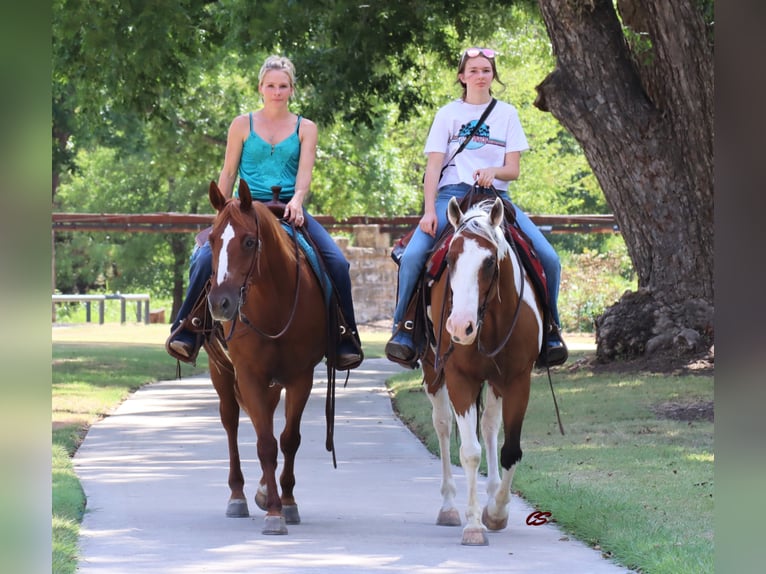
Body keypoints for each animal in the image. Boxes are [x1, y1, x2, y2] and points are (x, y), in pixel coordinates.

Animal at [206, 180, 332, 536]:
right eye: (212, 239)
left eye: (249, 241)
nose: (220, 303)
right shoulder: (249, 374)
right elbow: (265, 443)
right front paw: (274, 512)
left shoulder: (301, 376)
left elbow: (288, 440)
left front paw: (286, 503)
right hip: (220, 371)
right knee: (231, 422)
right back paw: (237, 495)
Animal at [420, 199, 544, 548]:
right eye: (449, 259)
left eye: (489, 262)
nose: (460, 326)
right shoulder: (459, 378)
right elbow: (470, 452)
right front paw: (474, 525)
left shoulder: (517, 380)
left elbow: (510, 449)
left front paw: (497, 512)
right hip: (433, 371)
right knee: (443, 425)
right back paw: (449, 506)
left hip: (496, 383)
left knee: (489, 427)